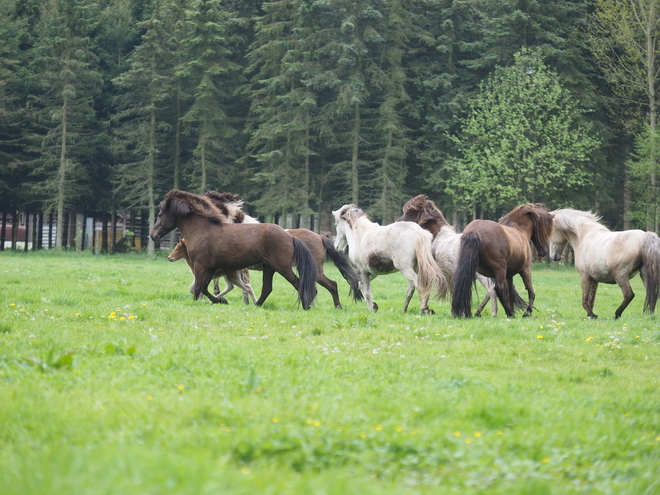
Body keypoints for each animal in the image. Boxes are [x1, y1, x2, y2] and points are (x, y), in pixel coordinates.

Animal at [151, 190, 318, 310]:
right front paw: (221, 301)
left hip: (282, 267)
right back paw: (256, 306)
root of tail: (290, 237)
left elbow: (198, 288)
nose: (153, 235)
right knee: (267, 289)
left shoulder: (200, 266)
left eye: (160, 214)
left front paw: (203, 302)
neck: (202, 230)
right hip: (268, 267)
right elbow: (204, 288)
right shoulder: (211, 268)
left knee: (299, 284)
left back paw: (306, 306)